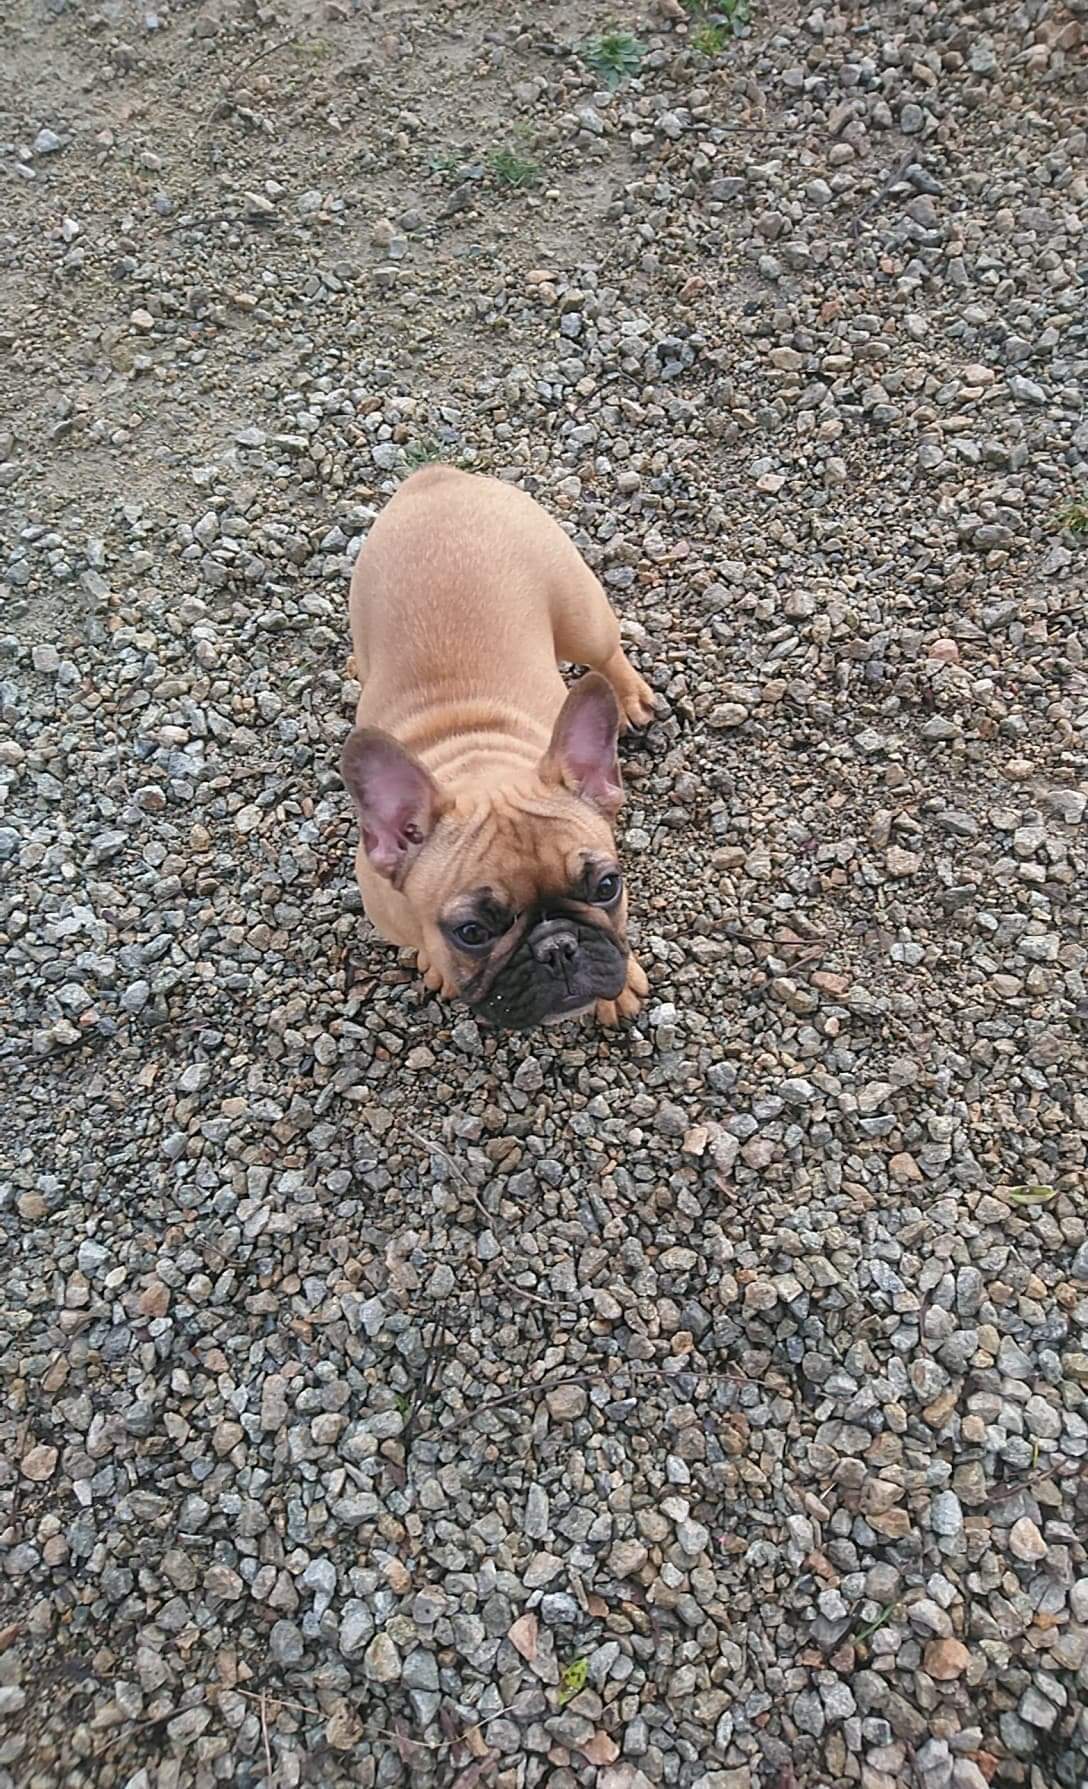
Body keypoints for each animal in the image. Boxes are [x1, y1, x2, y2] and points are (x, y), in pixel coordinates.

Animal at [339, 467, 655, 1030]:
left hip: (583, 617)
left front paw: (615, 994)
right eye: (472, 933)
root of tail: (437, 476)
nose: (558, 947)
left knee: (607, 652)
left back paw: (630, 694)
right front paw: (435, 964)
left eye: (607, 887)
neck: (477, 758)